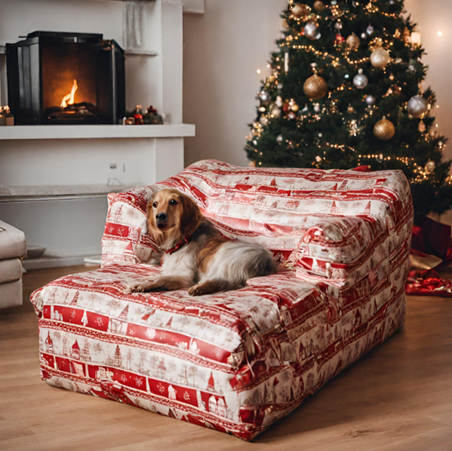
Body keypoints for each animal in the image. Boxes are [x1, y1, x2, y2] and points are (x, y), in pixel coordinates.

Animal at [126, 188, 276, 296]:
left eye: (173, 202)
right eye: (155, 204)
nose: (159, 216)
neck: (182, 240)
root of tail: (268, 262)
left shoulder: (186, 275)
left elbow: (160, 278)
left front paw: (142, 285)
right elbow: (159, 277)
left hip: (226, 258)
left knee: (226, 281)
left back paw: (200, 288)